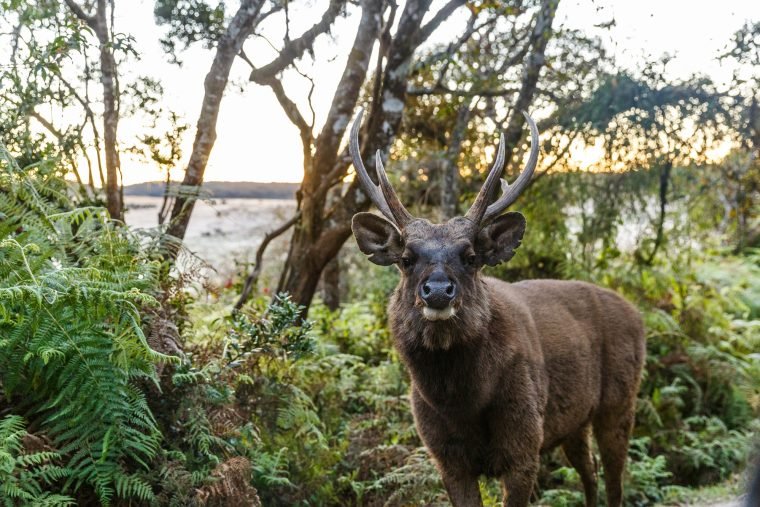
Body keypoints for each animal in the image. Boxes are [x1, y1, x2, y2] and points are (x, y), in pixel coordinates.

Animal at [349, 110, 646, 507]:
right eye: (407, 259)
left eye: (471, 256)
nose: (438, 291)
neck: (462, 402)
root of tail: (637, 314)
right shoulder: (446, 457)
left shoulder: (524, 444)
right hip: (573, 420)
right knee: (589, 469)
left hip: (620, 399)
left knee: (615, 476)